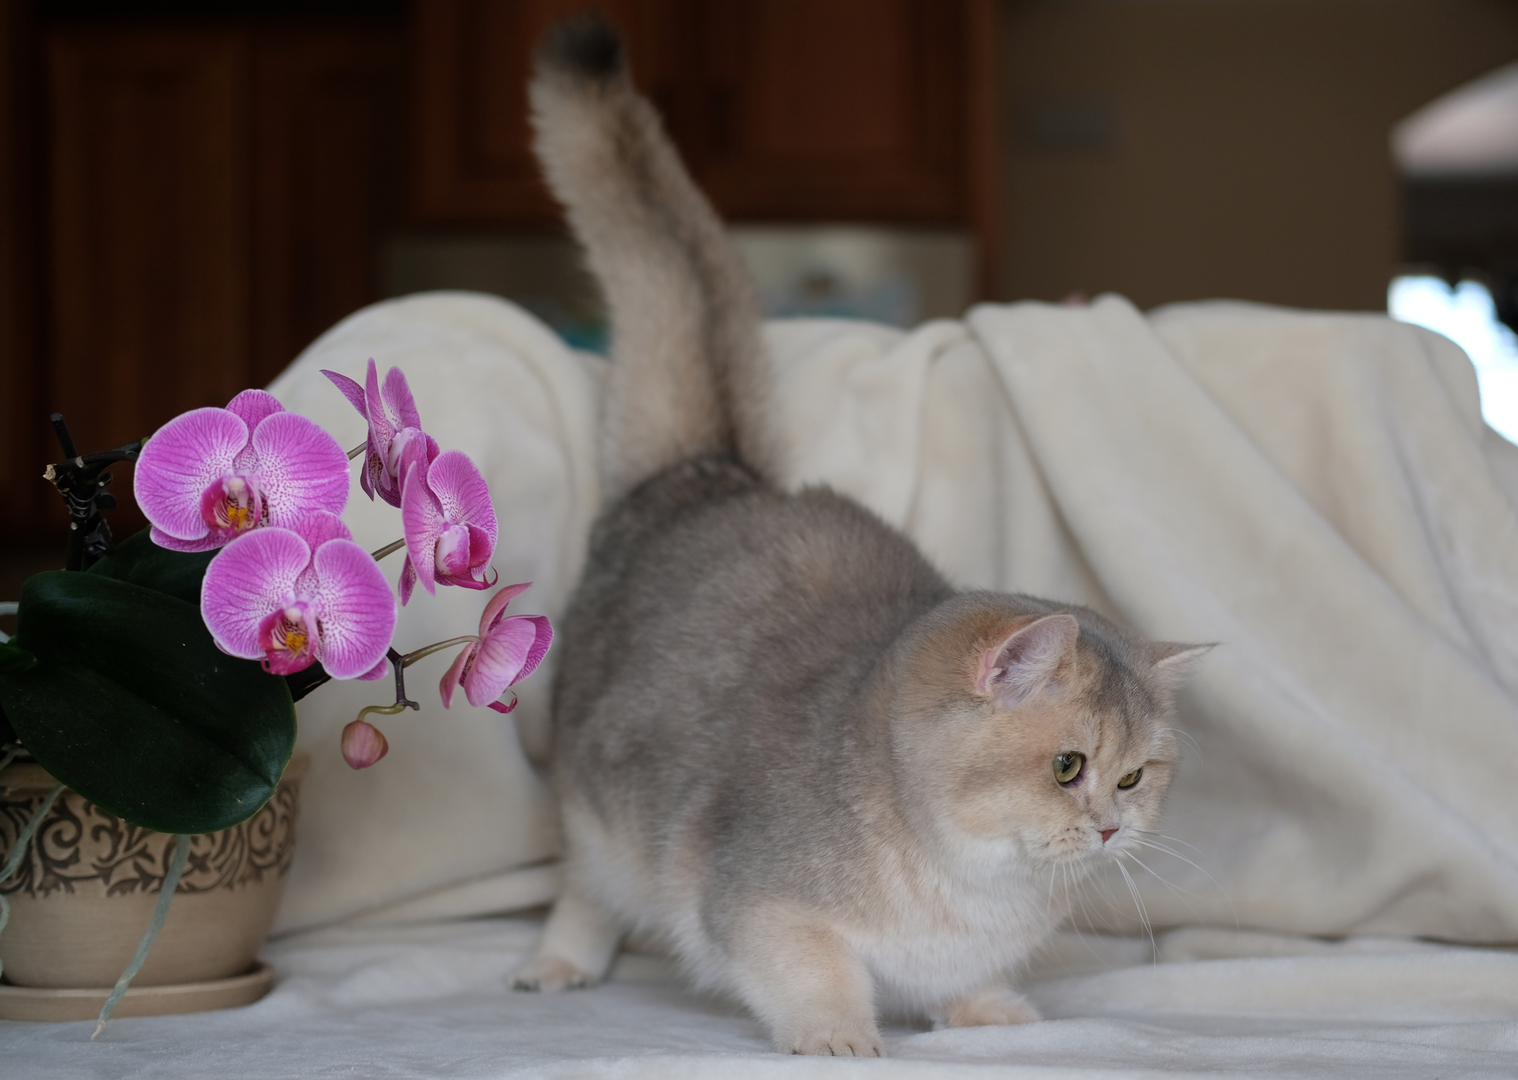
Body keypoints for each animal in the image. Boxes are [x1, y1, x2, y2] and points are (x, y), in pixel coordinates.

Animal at [513, 12, 1208, 1063]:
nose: (1109, 832)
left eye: (1134, 776)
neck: (970, 888)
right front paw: (840, 1035)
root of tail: (708, 473)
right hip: (599, 811)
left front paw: (985, 1009)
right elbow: (814, 972)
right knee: (586, 891)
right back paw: (559, 963)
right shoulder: (755, 903)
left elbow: (963, 980)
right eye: (1069, 767)